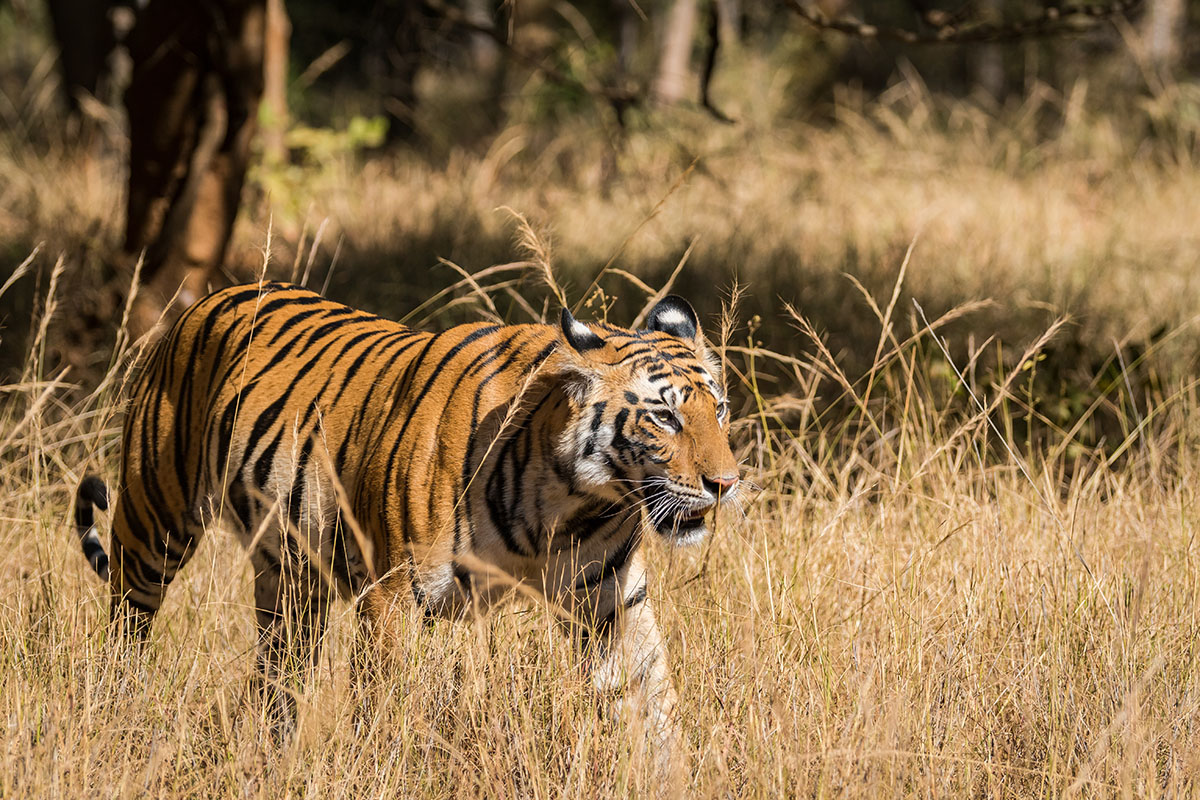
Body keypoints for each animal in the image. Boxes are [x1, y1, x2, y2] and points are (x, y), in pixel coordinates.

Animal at [75, 280, 739, 758]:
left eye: (721, 409)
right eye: (664, 417)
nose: (726, 484)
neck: (572, 501)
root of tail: (208, 298)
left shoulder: (609, 596)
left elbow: (652, 697)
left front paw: (673, 774)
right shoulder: (392, 592)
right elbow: (383, 700)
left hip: (292, 579)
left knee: (278, 674)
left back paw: (271, 754)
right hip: (153, 519)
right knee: (127, 625)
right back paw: (115, 716)